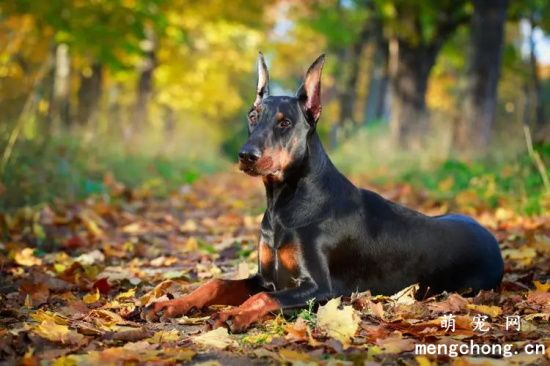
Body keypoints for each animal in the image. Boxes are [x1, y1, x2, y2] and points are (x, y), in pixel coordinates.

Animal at [146, 53, 504, 332]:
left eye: (284, 123)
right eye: (252, 116)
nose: (246, 155)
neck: (284, 204)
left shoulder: (323, 289)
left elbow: (264, 297)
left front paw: (235, 314)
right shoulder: (267, 276)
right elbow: (217, 282)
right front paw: (171, 304)